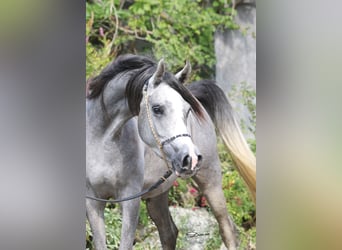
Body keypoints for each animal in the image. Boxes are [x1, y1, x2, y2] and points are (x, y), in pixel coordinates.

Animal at [86, 53, 256, 249]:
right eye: (157, 108)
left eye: (188, 110)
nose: (191, 158)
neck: (102, 140)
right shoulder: (93, 203)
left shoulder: (130, 200)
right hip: (157, 195)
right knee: (169, 232)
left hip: (210, 183)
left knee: (227, 229)